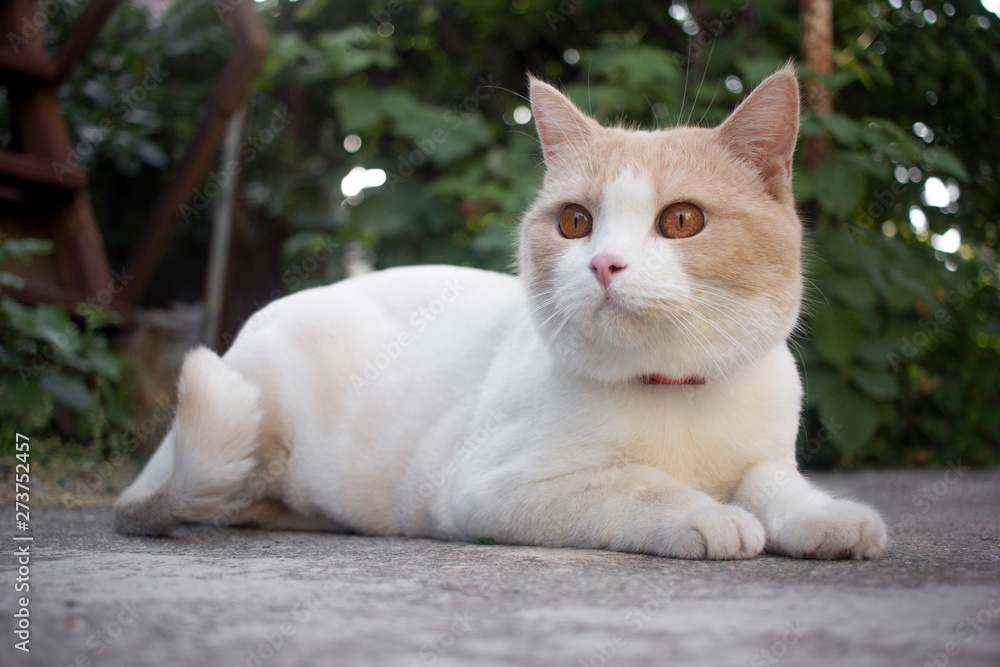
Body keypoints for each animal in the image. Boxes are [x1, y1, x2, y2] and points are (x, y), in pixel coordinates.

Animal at [115, 67, 888, 560]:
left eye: (682, 220)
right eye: (575, 222)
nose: (605, 264)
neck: (673, 391)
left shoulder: (764, 455)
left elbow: (775, 484)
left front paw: (824, 517)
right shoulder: (488, 486)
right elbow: (636, 482)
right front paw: (706, 513)